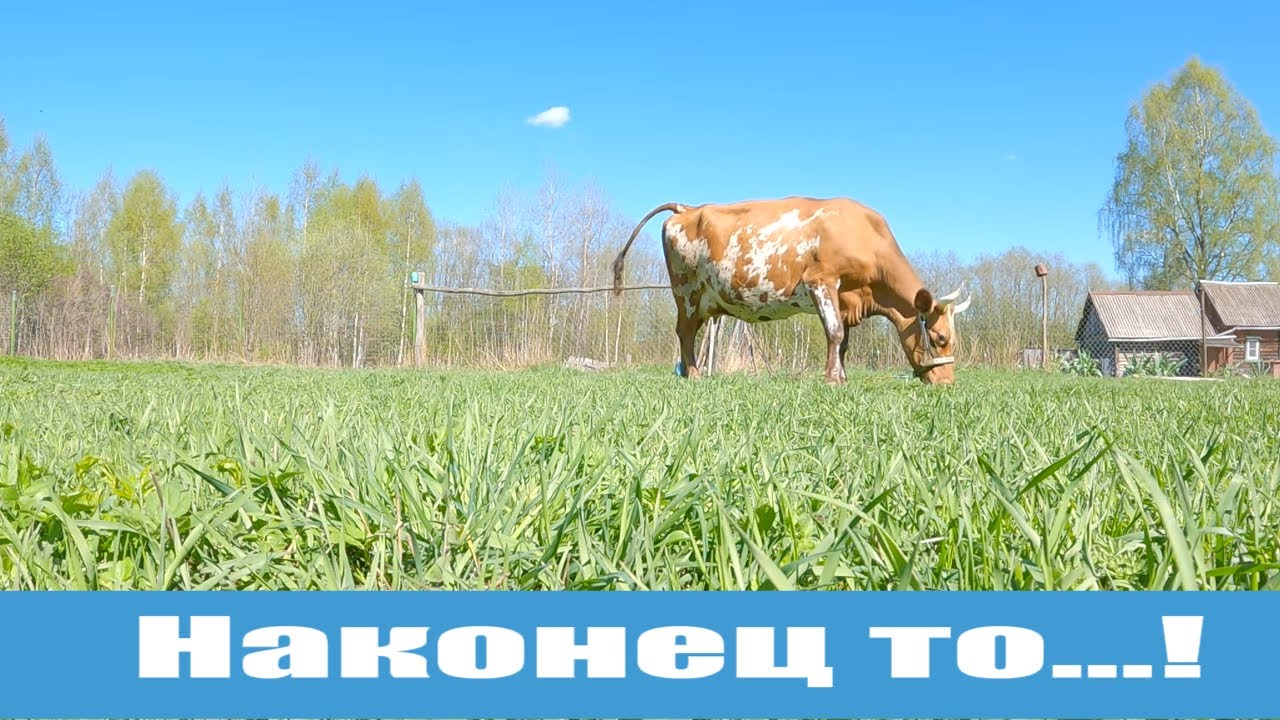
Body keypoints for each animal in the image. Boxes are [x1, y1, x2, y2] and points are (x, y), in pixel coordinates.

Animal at [611, 197, 971, 385]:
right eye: (940, 338)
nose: (947, 383)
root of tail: (687, 208)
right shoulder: (821, 280)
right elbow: (835, 333)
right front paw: (832, 380)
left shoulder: (845, 299)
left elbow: (842, 341)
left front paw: (841, 376)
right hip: (686, 291)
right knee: (685, 332)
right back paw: (695, 375)